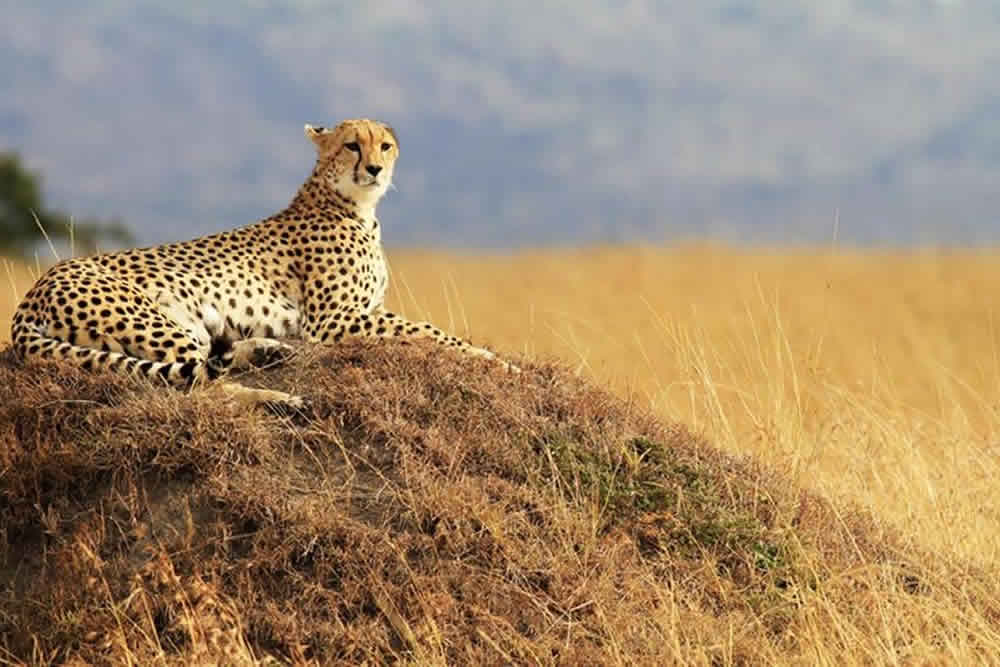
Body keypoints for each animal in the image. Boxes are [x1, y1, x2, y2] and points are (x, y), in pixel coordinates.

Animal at [10, 118, 504, 408]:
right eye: (351, 146)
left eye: (384, 146)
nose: (375, 169)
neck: (355, 206)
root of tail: (35, 288)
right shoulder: (333, 321)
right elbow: (429, 330)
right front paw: (490, 358)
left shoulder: (363, 311)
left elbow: (423, 328)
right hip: (150, 320)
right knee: (197, 385)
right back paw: (277, 397)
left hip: (181, 323)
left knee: (209, 359)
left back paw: (268, 351)